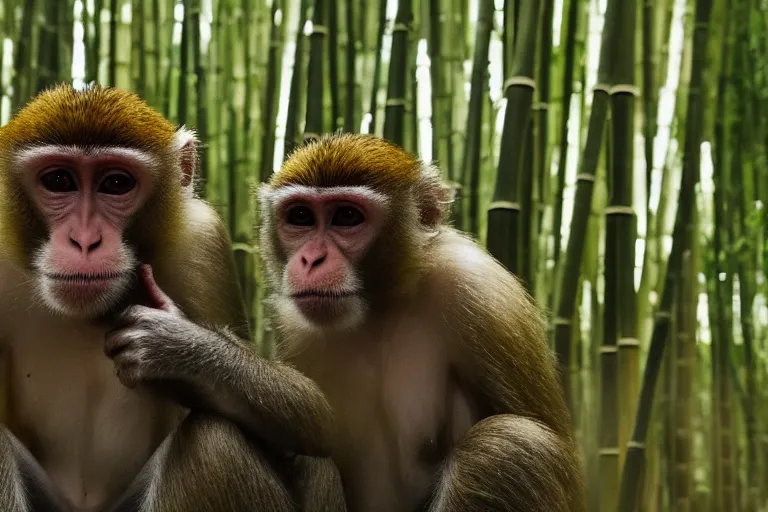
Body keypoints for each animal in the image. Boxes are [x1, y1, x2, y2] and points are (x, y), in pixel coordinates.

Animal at [0, 84, 344, 512]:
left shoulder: (201, 238)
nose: (84, 241)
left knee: (215, 439)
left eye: (116, 183)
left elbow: (316, 422)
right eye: (59, 180)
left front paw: (176, 347)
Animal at [258, 133, 588, 512]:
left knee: (510, 444)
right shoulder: (295, 328)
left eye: (346, 216)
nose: (311, 259)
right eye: (301, 217)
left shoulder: (479, 290)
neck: (381, 305)